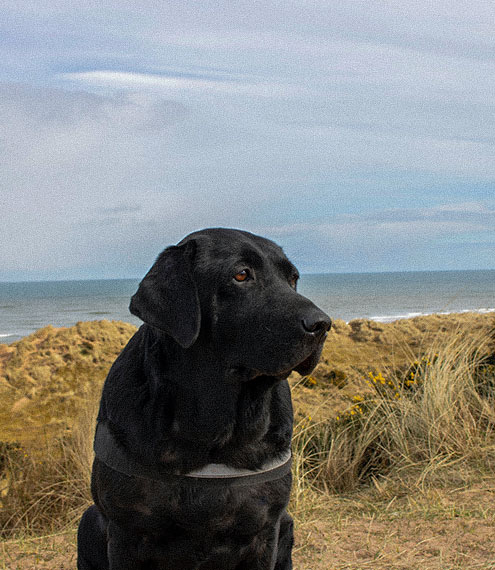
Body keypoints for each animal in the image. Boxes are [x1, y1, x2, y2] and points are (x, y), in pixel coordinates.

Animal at [77, 229, 332, 564]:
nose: (323, 324)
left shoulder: (266, 528)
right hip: (89, 520)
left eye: (293, 279)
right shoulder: (125, 530)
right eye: (241, 274)